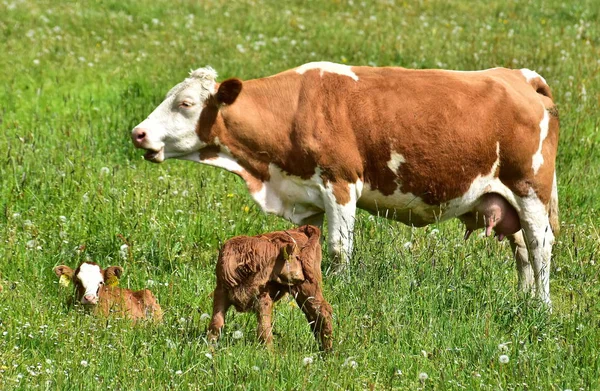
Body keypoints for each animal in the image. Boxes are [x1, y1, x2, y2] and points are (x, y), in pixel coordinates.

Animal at [131, 62, 556, 306]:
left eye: (185, 104)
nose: (138, 133)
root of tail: (519, 76)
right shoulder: (306, 197)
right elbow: (302, 249)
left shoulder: (340, 184)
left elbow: (338, 247)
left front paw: (340, 289)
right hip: (505, 199)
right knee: (521, 249)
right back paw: (524, 296)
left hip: (530, 189)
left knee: (539, 246)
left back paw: (541, 306)